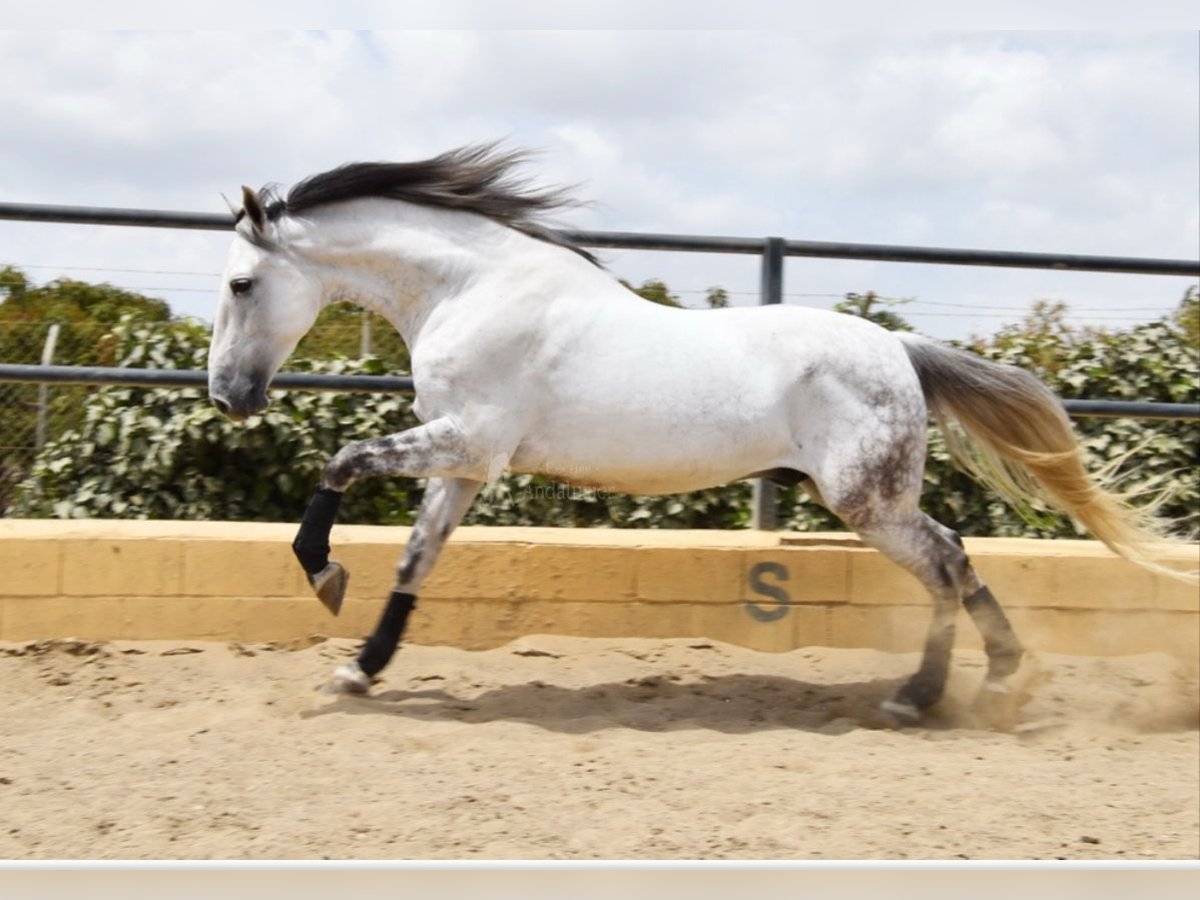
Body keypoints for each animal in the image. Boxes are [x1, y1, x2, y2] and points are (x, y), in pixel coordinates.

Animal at [206, 146, 1171, 724]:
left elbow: (342, 461)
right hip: (871, 497)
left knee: (944, 562)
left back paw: (925, 695)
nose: (226, 397)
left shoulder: (467, 441)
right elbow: (415, 561)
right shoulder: (466, 464)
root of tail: (899, 347)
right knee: (957, 556)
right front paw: (359, 671)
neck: (472, 290)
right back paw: (997, 676)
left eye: (241, 283)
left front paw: (324, 576)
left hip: (866, 498)